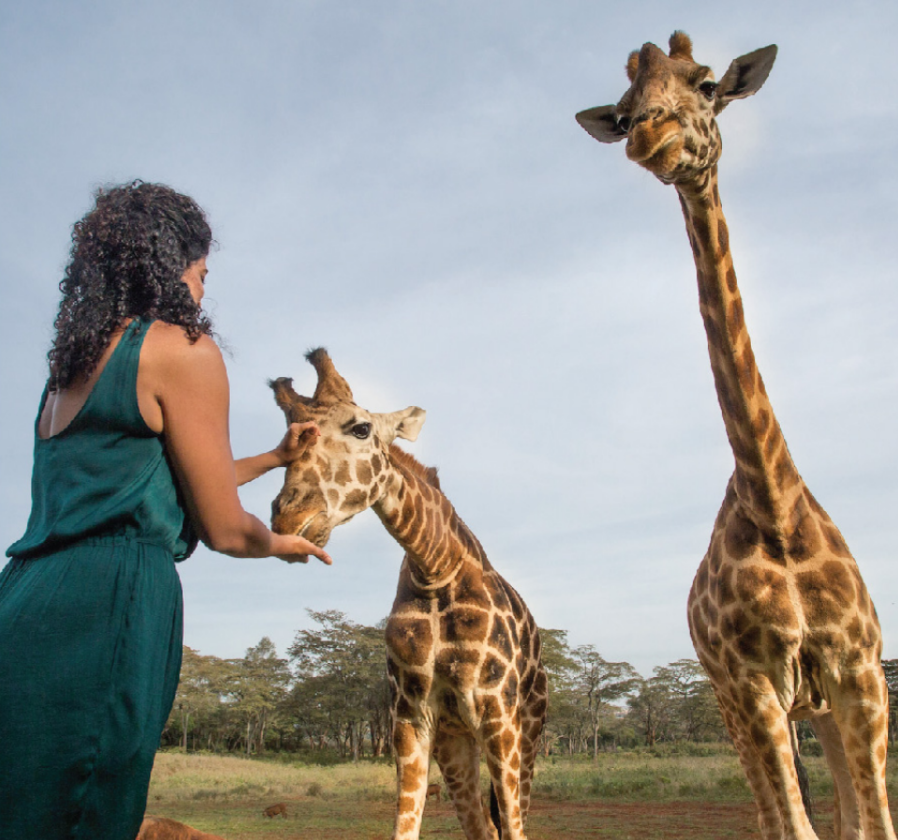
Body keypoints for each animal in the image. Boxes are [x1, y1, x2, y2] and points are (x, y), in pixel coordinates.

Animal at [266, 344, 544, 836]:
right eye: (289, 438)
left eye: (360, 428)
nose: (288, 518)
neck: (435, 568)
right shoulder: (411, 716)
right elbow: (405, 826)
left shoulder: (498, 713)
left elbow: (514, 828)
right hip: (456, 739)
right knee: (482, 826)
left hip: (527, 729)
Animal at [576, 31, 892, 840]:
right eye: (622, 112)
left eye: (706, 82)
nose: (650, 138)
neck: (775, 510)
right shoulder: (752, 685)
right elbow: (797, 827)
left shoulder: (860, 675)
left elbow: (872, 824)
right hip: (735, 706)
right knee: (776, 814)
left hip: (817, 708)